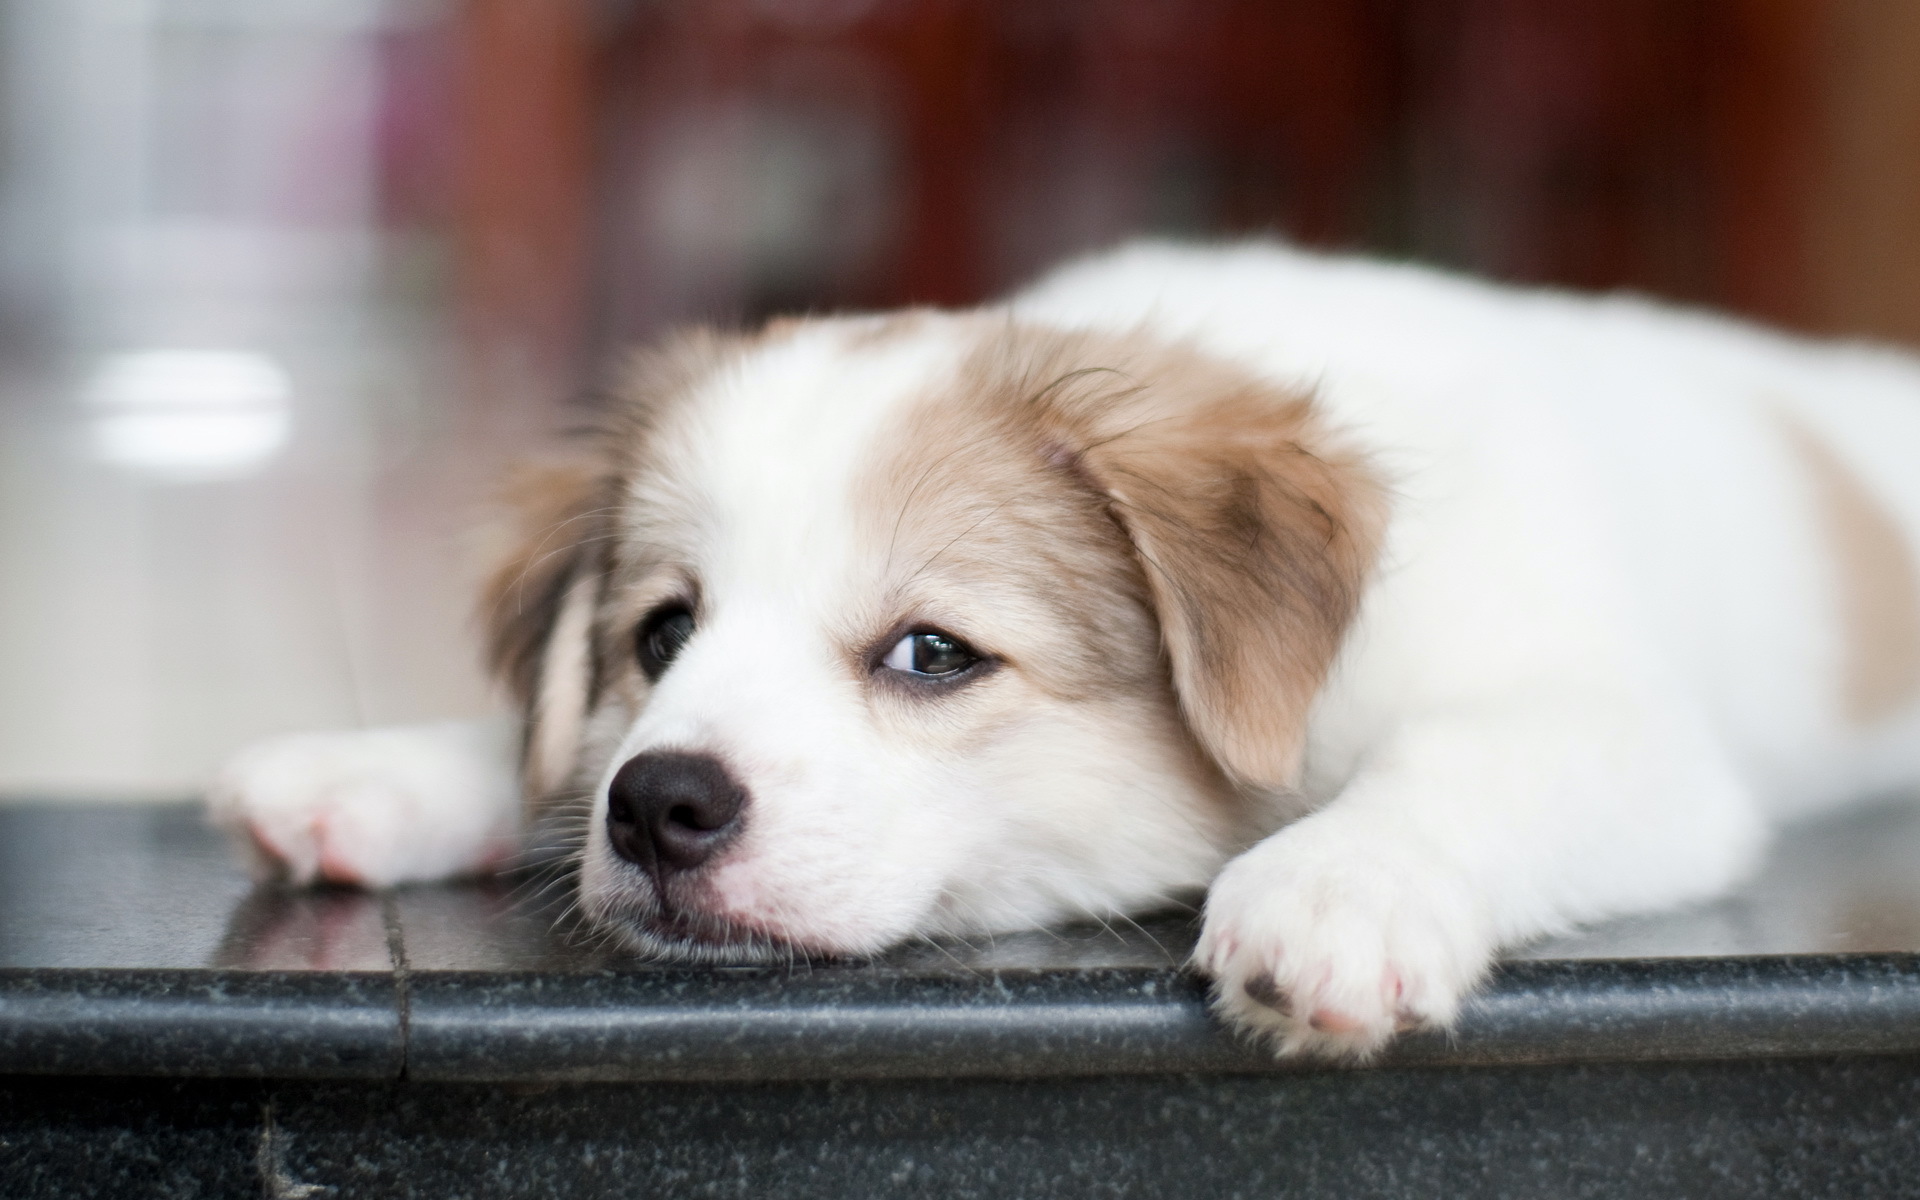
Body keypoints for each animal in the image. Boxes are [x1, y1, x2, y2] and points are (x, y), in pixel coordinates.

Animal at [206, 239, 1920, 1052]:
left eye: (932, 655)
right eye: (662, 632)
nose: (661, 808)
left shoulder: (1625, 737)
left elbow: (1463, 764)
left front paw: (1338, 887)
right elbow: (542, 747)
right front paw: (386, 776)